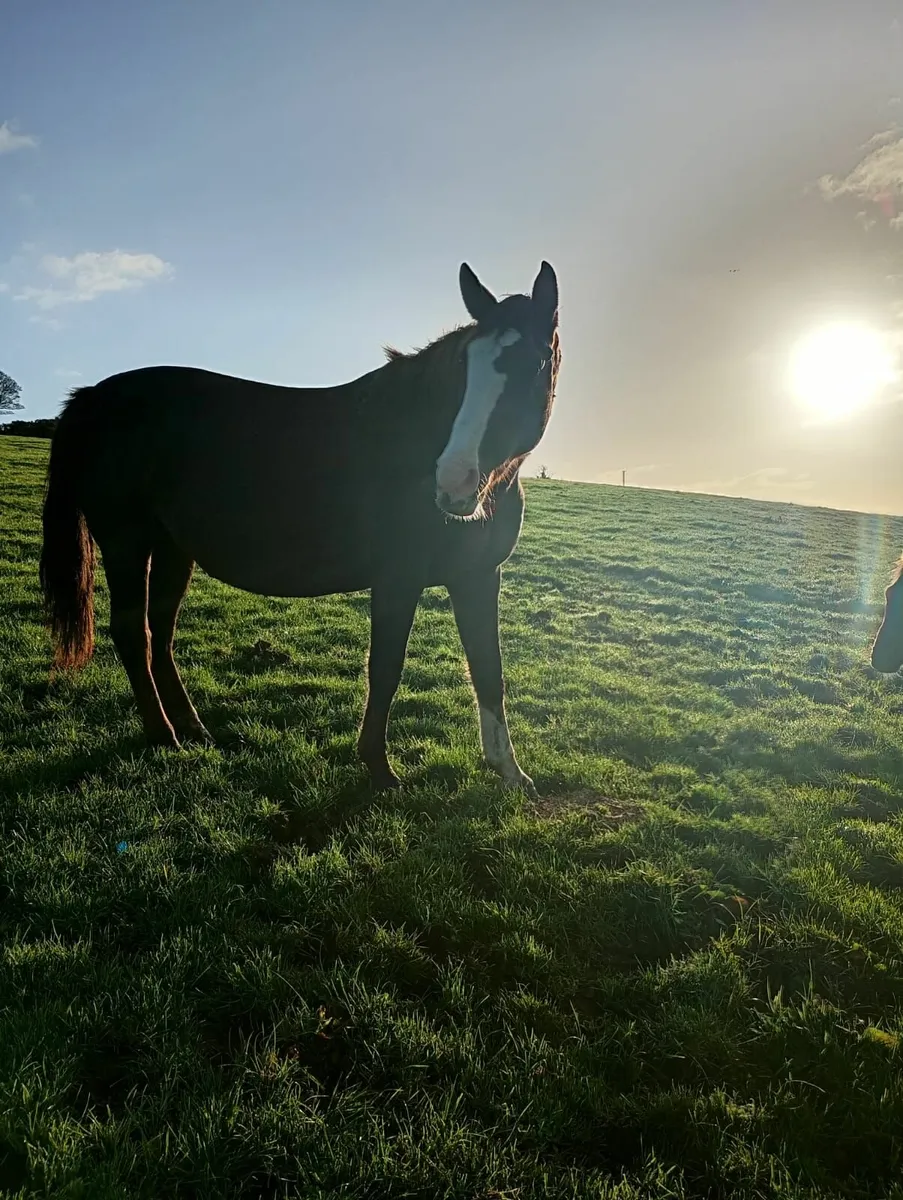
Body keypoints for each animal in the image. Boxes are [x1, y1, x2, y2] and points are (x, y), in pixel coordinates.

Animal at [39, 260, 561, 793]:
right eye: (464, 367)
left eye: (535, 363)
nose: (453, 483)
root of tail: (90, 399)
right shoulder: (397, 579)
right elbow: (386, 668)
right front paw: (379, 768)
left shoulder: (477, 576)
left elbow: (489, 669)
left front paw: (510, 772)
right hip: (126, 543)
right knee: (132, 633)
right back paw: (164, 736)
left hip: (171, 550)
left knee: (159, 633)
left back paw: (192, 728)